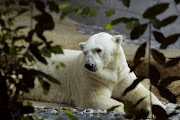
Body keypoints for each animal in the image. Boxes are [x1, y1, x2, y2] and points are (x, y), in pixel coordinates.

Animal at [24, 32, 165, 113]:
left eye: (98, 49)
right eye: (85, 52)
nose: (89, 65)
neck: (110, 72)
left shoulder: (122, 75)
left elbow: (138, 92)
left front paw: (157, 108)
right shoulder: (89, 77)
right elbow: (94, 98)